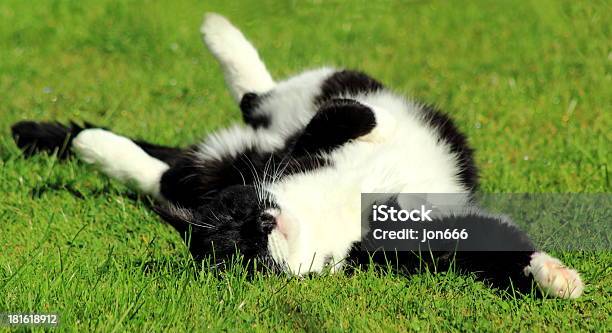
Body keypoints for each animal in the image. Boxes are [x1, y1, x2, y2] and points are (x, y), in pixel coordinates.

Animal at [10, 13, 584, 298]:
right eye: (243, 253)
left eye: (240, 212)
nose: (262, 224)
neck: (326, 209)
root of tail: (239, 145)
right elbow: (490, 242)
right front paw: (557, 279)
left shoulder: (303, 150)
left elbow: (335, 124)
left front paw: (555, 277)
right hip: (207, 164)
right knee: (167, 169)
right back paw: (91, 142)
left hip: (309, 91)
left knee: (259, 97)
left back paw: (218, 34)